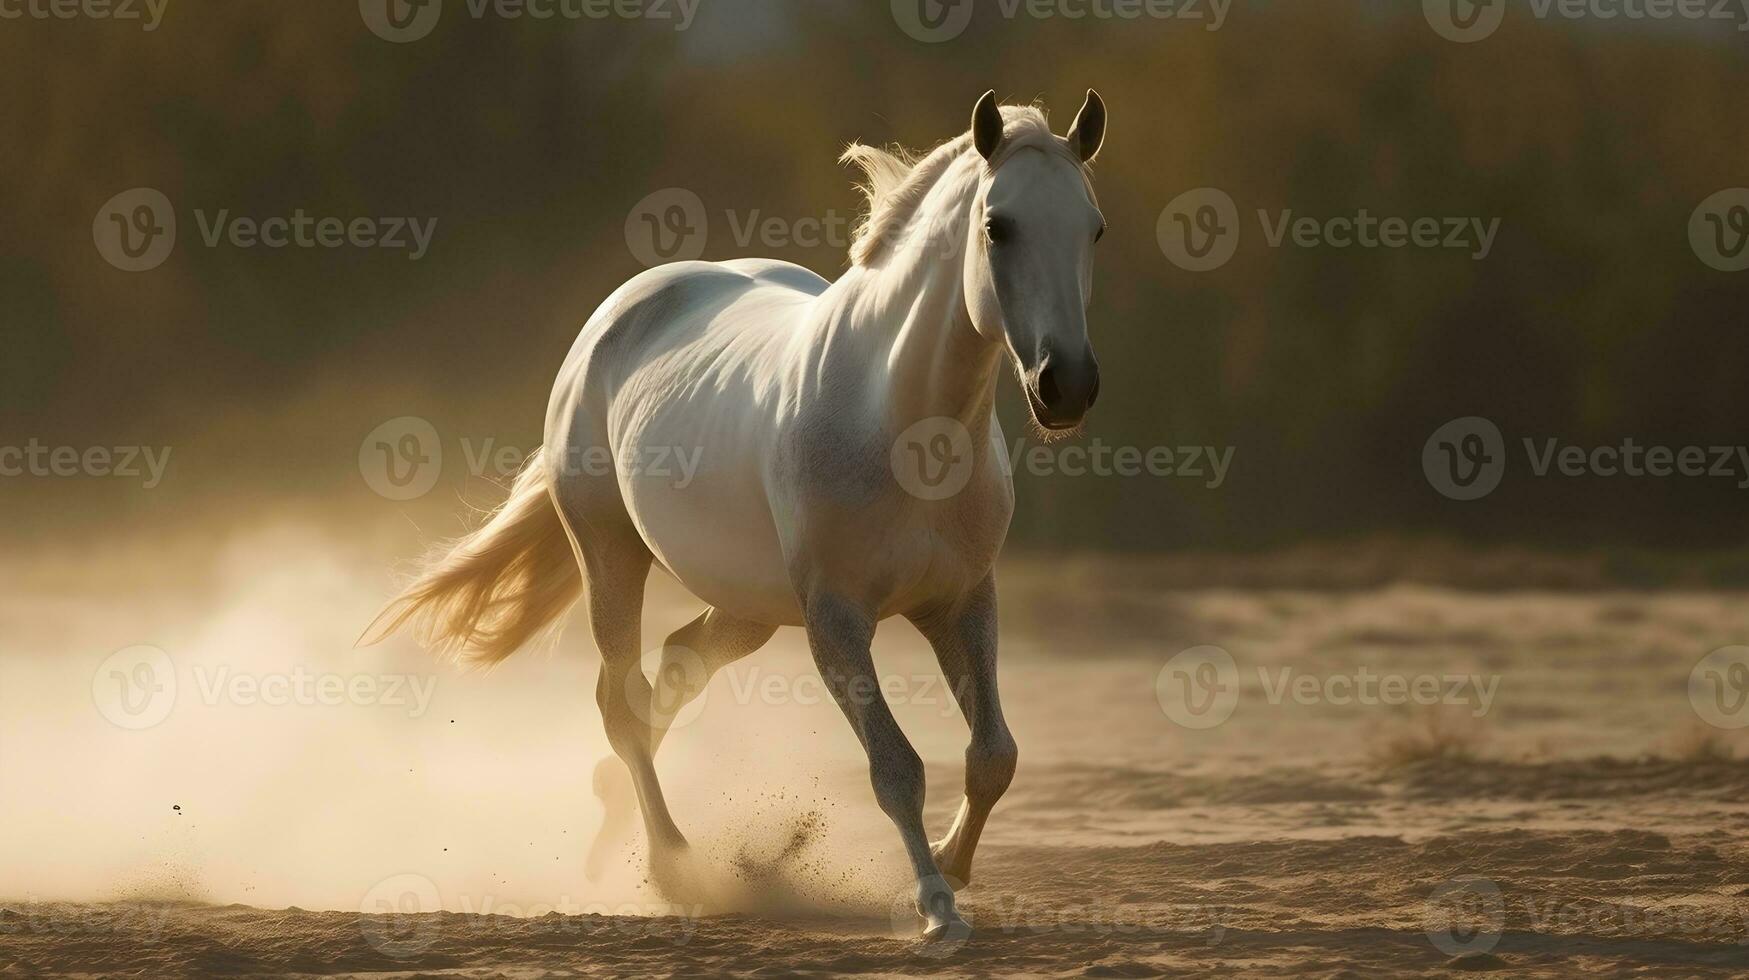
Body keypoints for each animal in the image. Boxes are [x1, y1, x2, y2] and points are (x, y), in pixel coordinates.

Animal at [367, 93, 1105, 945]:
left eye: (1093, 227)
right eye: (997, 225)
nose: (1065, 386)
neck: (896, 419)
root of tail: (620, 311)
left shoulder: (960, 602)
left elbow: (993, 755)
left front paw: (951, 870)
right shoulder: (837, 621)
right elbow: (896, 768)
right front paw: (934, 908)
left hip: (751, 607)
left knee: (676, 668)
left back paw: (613, 821)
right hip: (611, 557)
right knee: (621, 700)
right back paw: (672, 867)